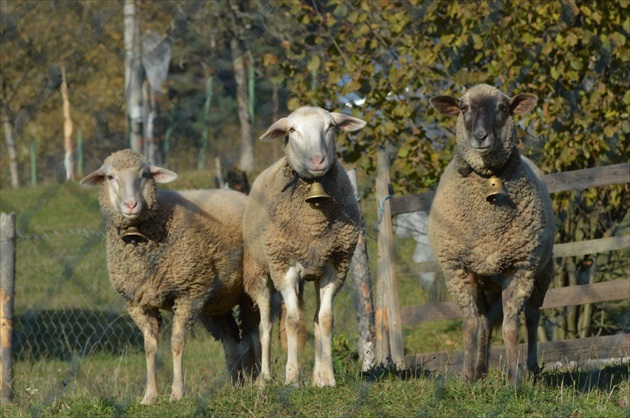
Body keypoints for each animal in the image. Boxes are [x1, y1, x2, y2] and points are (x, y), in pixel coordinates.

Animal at [81, 149, 260, 404]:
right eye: (110, 177)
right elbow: (149, 347)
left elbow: (176, 343)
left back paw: (258, 380)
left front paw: (176, 393)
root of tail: (240, 195)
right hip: (216, 302)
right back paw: (237, 385)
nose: (131, 205)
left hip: (243, 291)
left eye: (145, 174)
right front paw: (149, 396)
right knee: (231, 340)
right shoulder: (137, 303)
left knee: (253, 335)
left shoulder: (188, 294)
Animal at [244, 107, 368, 386]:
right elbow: (292, 321)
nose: (319, 160)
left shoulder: (335, 267)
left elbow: (325, 320)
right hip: (260, 273)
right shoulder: (284, 268)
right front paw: (292, 378)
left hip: (313, 271)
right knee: (265, 326)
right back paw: (264, 379)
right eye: (292, 130)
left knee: (314, 320)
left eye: (330, 127)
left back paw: (316, 378)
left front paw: (328, 379)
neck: (313, 224)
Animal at [430, 84, 556, 386]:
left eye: (503, 108)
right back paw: (480, 371)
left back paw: (531, 369)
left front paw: (513, 382)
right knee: (485, 323)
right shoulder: (458, 269)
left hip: (541, 274)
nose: (480, 137)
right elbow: (470, 325)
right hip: (484, 279)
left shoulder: (519, 268)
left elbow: (511, 328)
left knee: (532, 319)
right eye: (463, 108)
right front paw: (466, 378)